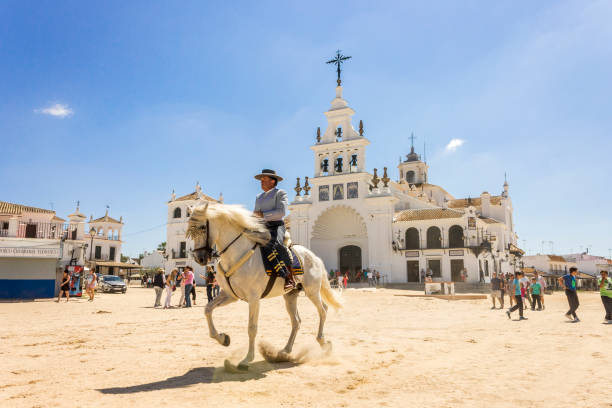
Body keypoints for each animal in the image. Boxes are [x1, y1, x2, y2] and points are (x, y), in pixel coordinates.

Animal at [186, 202, 342, 370]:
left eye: (203, 227)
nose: (200, 258)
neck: (237, 254)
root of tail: (314, 257)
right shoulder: (229, 295)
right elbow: (208, 309)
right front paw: (223, 338)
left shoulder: (254, 299)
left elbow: (252, 328)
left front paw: (247, 359)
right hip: (290, 296)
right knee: (296, 321)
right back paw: (285, 351)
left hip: (312, 291)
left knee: (323, 310)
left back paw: (323, 342)